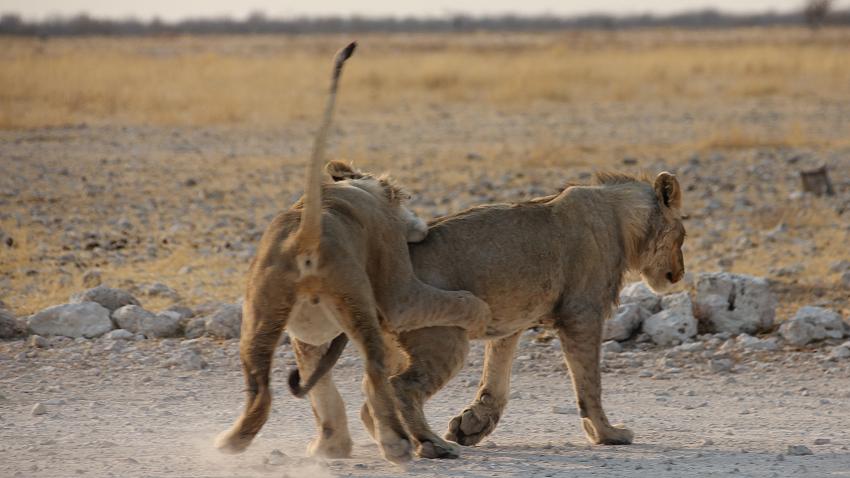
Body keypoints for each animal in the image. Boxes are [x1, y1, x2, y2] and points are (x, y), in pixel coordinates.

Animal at [214, 43, 490, 464]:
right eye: (407, 198)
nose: (422, 223)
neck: (348, 188)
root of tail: (306, 235)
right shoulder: (398, 290)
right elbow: (454, 301)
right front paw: (479, 311)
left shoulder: (309, 336)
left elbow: (321, 389)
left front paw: (329, 447)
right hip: (361, 302)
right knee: (376, 374)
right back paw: (396, 444)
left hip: (260, 315)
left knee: (260, 389)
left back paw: (232, 443)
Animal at [294, 170, 684, 458]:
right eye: (682, 235)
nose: (678, 275)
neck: (622, 219)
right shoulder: (581, 315)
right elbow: (589, 384)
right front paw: (607, 434)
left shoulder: (511, 321)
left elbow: (496, 380)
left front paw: (472, 425)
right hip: (444, 337)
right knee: (401, 387)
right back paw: (431, 445)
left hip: (393, 343)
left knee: (372, 395)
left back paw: (397, 441)